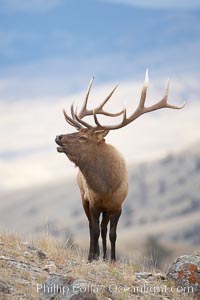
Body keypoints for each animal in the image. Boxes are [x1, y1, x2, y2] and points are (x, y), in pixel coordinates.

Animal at [55, 70, 184, 260]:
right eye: (77, 132)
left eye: (83, 137)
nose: (58, 137)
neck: (106, 187)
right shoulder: (93, 202)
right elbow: (94, 230)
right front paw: (92, 257)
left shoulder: (118, 206)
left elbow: (112, 234)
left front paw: (112, 259)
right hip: (83, 197)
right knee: (92, 226)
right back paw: (95, 253)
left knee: (103, 228)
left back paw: (104, 255)